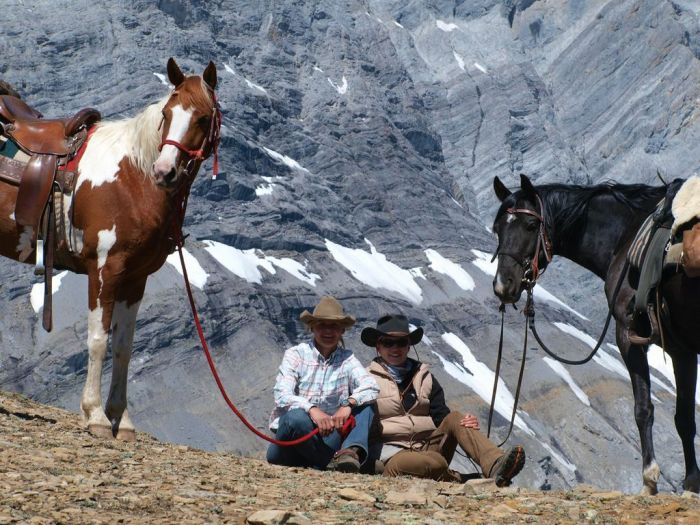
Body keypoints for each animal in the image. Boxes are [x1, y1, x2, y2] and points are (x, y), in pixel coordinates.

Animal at [0, 59, 219, 440]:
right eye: (167, 113)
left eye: (203, 118)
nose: (165, 171)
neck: (133, 177)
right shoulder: (104, 269)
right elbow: (99, 339)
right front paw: (96, 415)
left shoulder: (135, 279)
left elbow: (124, 347)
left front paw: (122, 419)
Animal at [492, 174, 700, 494]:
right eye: (498, 229)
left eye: (529, 226)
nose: (503, 285)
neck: (626, 237)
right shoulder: (682, 349)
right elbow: (685, 418)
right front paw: (692, 483)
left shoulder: (629, 337)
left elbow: (643, 409)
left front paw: (649, 480)